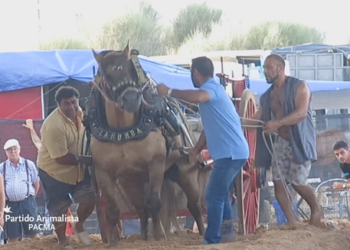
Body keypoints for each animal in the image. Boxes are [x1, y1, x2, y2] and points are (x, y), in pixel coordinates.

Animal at [84, 44, 205, 246]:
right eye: (106, 75)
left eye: (130, 70)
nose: (132, 99)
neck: (122, 129)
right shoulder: (103, 172)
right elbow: (112, 210)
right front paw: (114, 242)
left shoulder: (155, 164)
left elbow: (155, 202)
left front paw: (160, 236)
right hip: (130, 181)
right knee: (141, 208)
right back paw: (143, 236)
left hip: (185, 171)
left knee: (194, 204)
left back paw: (203, 233)